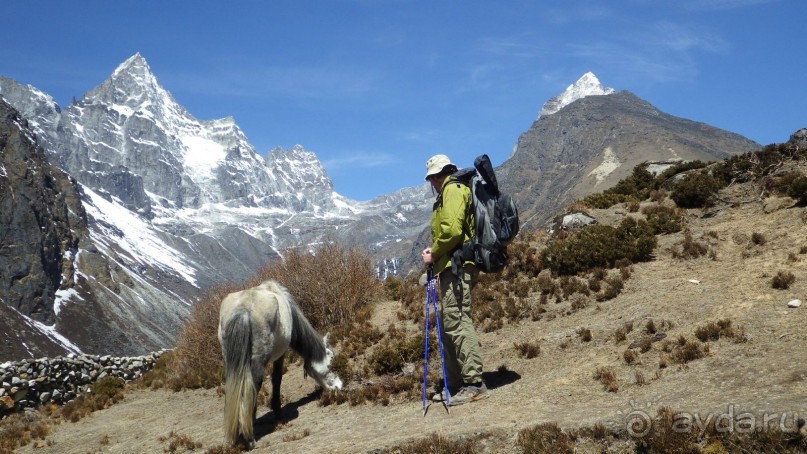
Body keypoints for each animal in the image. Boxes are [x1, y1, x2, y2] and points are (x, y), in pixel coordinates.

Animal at [216, 278, 342, 448]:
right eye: (332, 359)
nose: (339, 386)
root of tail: (243, 309)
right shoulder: (280, 355)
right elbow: (277, 379)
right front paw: (277, 410)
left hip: (231, 362)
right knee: (252, 387)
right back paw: (249, 437)